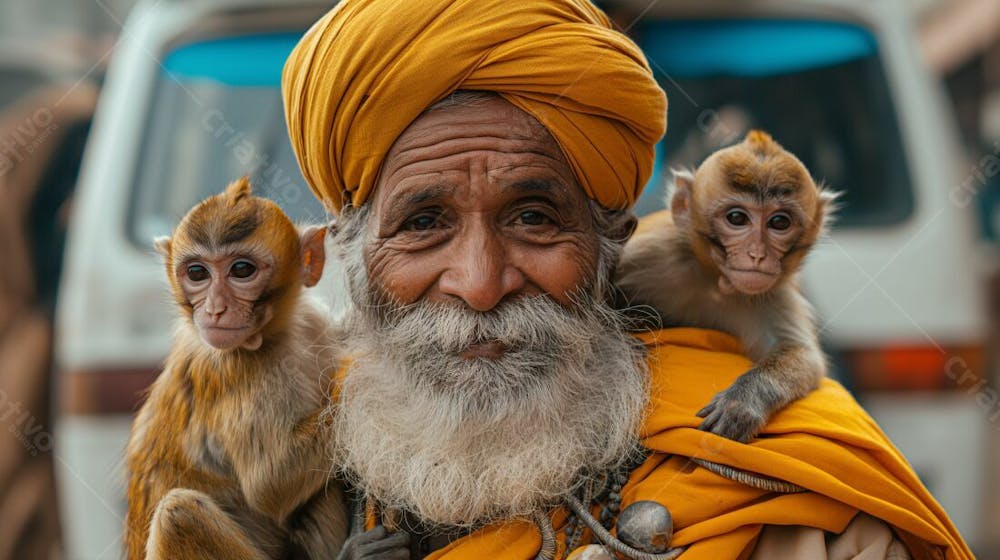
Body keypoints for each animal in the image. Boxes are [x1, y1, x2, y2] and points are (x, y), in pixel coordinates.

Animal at [123, 178, 350, 560]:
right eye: (197, 273)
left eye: (242, 270)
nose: (215, 309)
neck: (275, 336)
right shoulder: (243, 374)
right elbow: (268, 484)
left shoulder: (312, 323)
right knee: (178, 513)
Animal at [616, 129, 836, 444]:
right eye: (737, 218)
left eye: (779, 222)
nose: (757, 255)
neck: (716, 282)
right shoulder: (655, 251)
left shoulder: (773, 293)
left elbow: (801, 354)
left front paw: (742, 402)